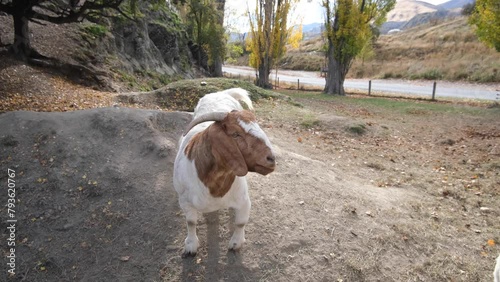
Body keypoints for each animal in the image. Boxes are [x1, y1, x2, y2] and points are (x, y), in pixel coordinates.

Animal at [173, 87, 276, 256]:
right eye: (236, 134)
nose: (271, 159)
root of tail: (221, 93)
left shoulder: (244, 200)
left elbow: (240, 222)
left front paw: (236, 243)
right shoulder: (184, 201)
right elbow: (191, 222)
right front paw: (190, 245)